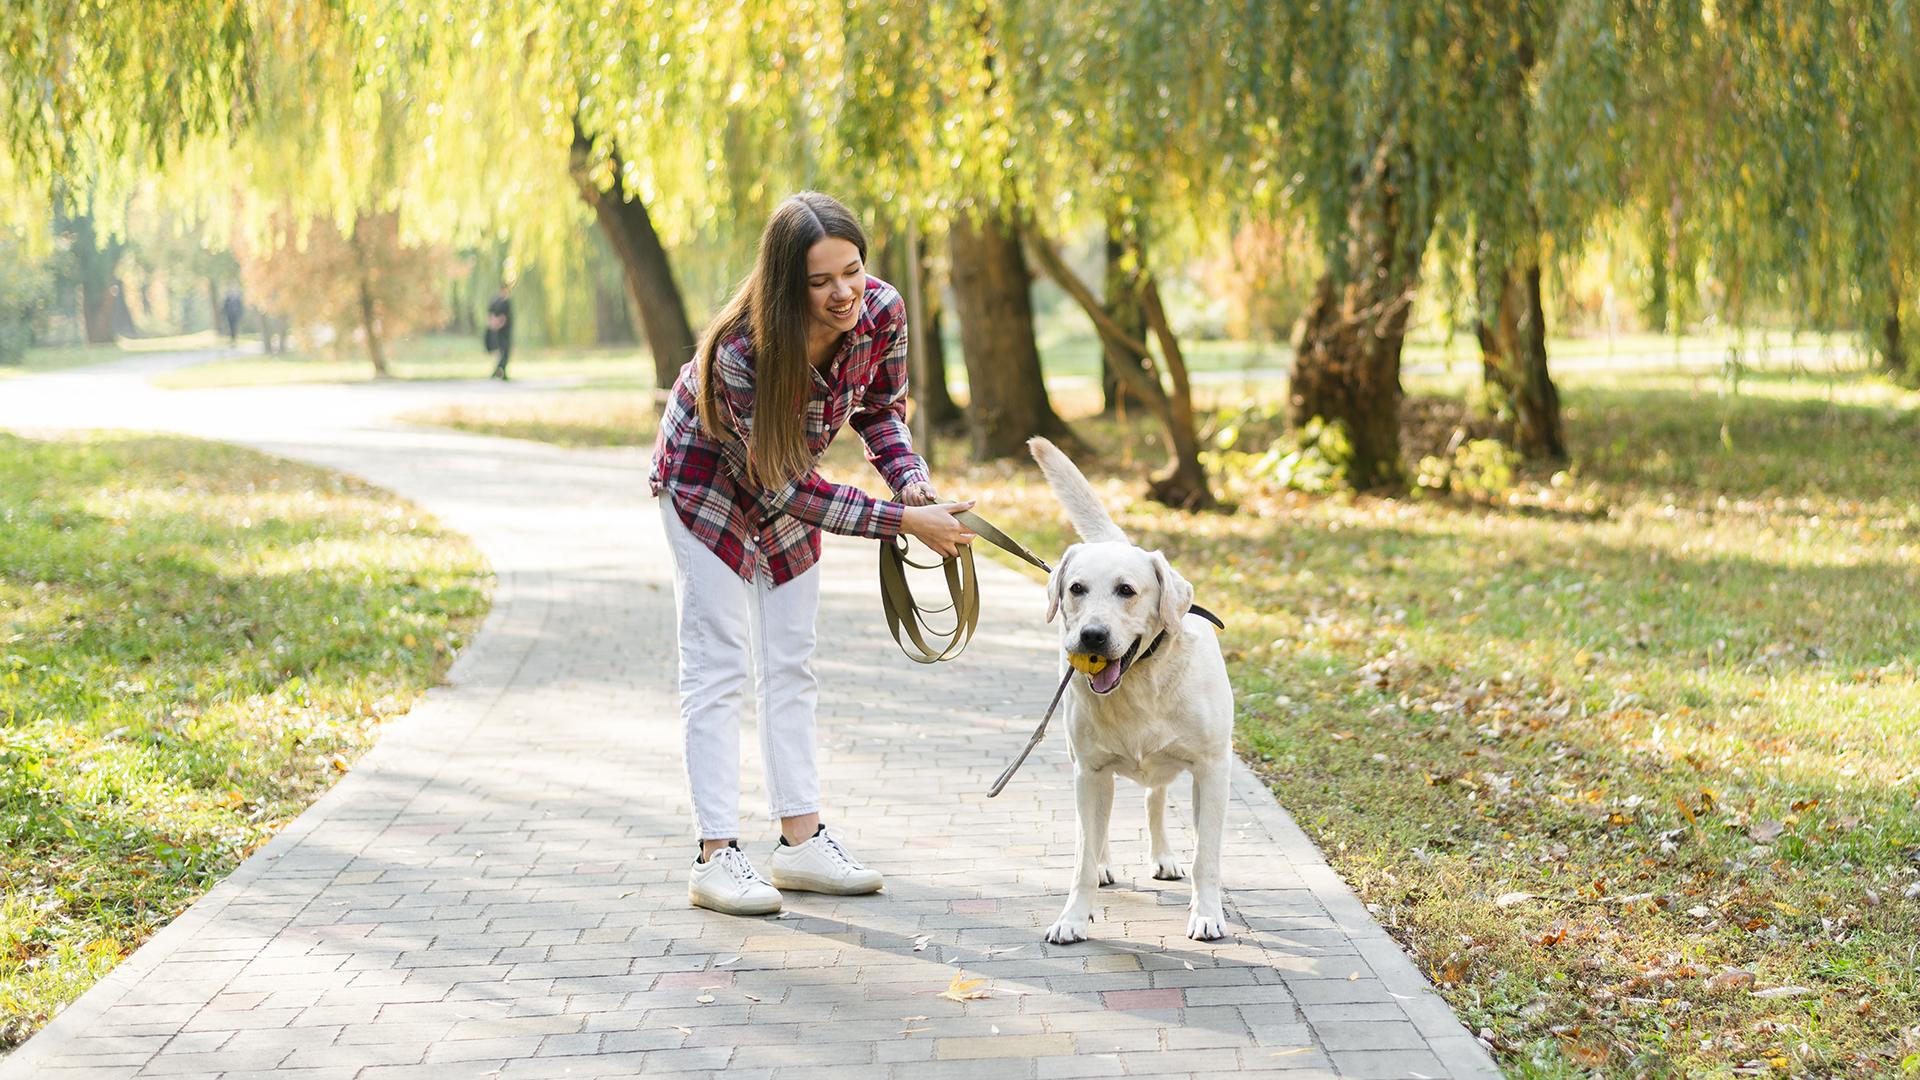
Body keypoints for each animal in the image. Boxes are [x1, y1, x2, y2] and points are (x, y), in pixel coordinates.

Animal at [1036, 432, 1228, 937]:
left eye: (1127, 590)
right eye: (1076, 589)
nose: (1092, 636)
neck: (1140, 682)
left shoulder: (1212, 769)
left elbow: (1206, 857)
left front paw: (1206, 912)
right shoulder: (1089, 771)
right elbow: (1082, 855)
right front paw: (1073, 917)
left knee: (1154, 798)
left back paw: (1163, 856)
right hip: (1083, 765)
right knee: (1095, 831)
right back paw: (1105, 864)